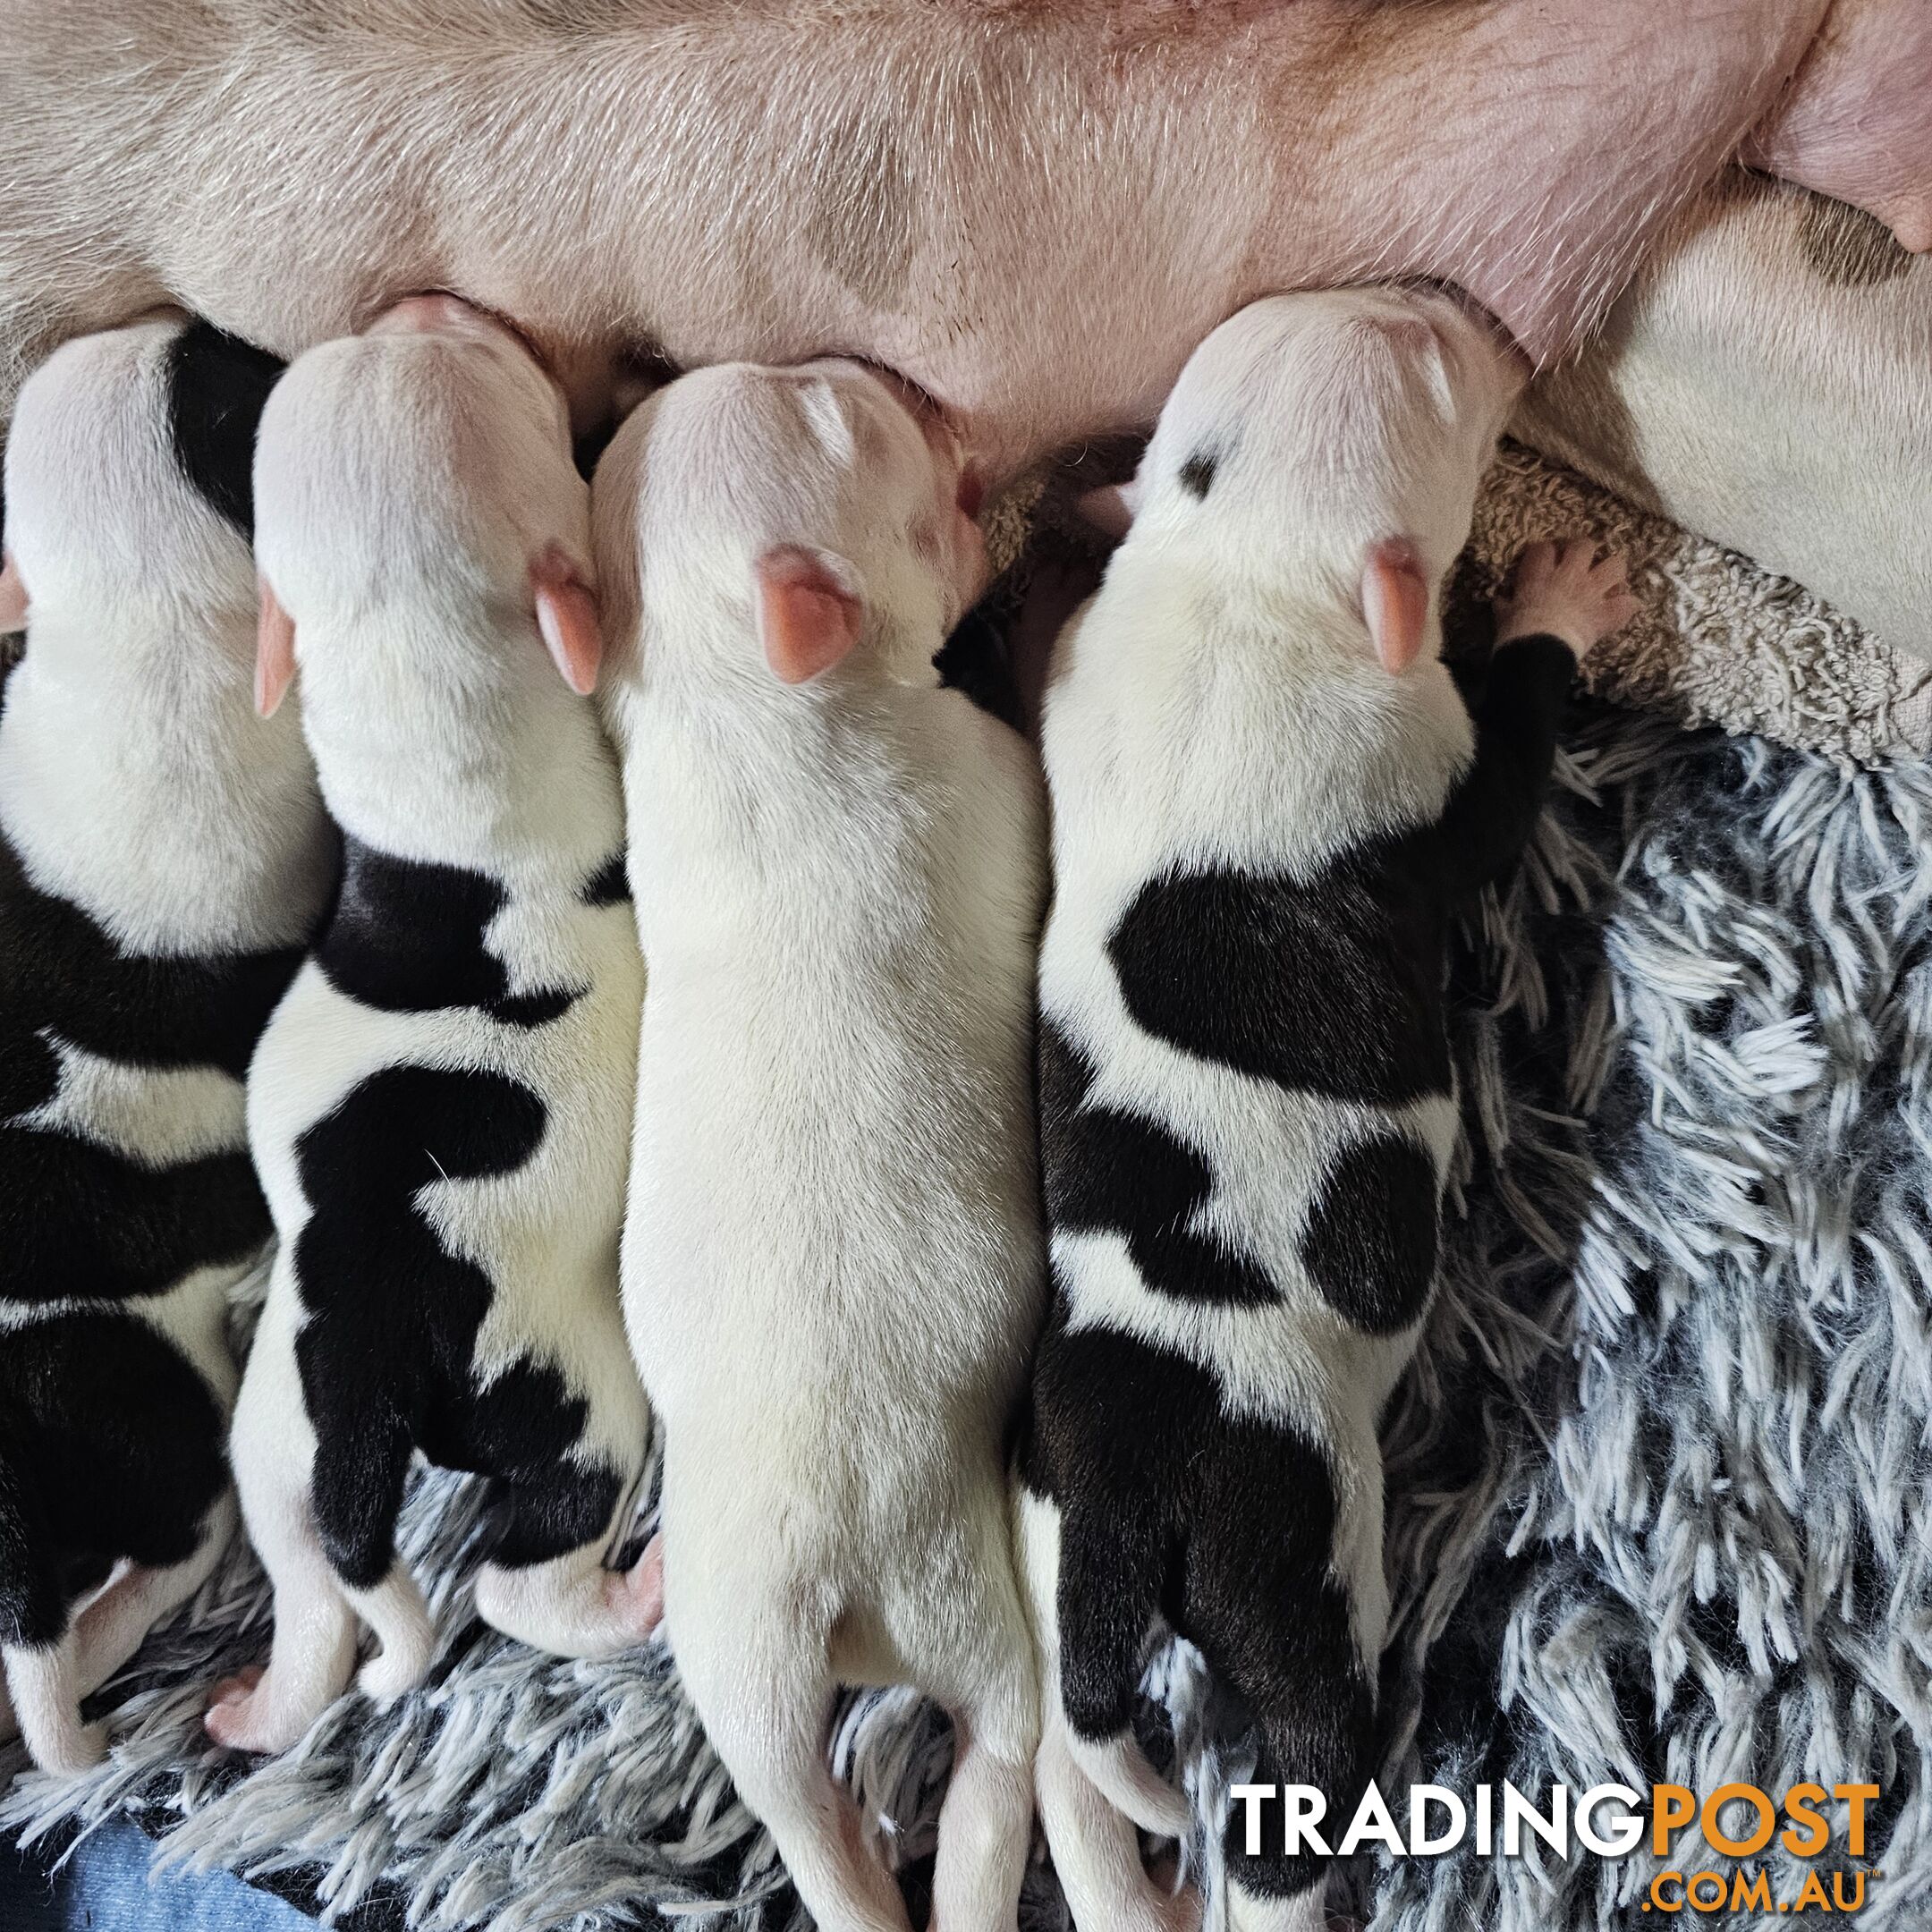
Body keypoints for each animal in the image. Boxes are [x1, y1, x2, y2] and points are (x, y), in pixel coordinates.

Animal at [202, 293, 657, 1761]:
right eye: (501, 370)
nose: (421, 302)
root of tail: (370, 1371)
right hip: (564, 1396)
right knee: (532, 1567)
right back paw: (631, 1600)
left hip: (280, 1434)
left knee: (311, 1569)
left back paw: (265, 1706)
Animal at [595, 359, 1051, 1932]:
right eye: (850, 420)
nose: (879, 369)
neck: (747, 701)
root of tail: (825, 1581)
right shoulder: (991, 765)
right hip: (959, 1595)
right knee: (1003, 1746)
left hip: (737, 1650)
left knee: (798, 1801)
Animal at [1020, 285, 1638, 1932]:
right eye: (1445, 378)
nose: (1445, 296)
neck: (1241, 570)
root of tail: (1136, 1501)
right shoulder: (1435, 765)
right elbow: (1514, 751)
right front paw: (1561, 598)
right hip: (1289, 1561)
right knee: (1304, 1745)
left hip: (1046, 1514)